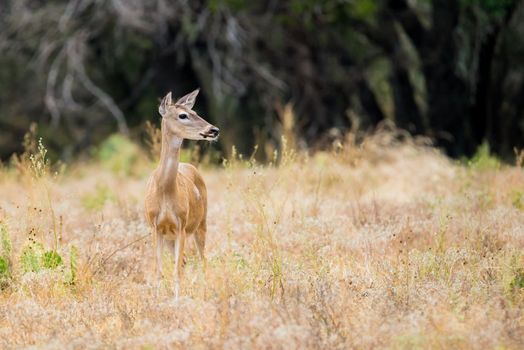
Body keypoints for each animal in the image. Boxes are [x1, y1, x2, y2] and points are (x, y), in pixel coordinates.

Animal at [144, 89, 218, 300]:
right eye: (183, 115)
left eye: (195, 112)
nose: (214, 130)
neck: (165, 193)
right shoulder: (155, 227)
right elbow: (158, 269)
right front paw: (156, 299)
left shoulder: (181, 225)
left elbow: (176, 269)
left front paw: (177, 301)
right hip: (171, 237)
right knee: (186, 260)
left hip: (201, 223)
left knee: (202, 259)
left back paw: (204, 293)